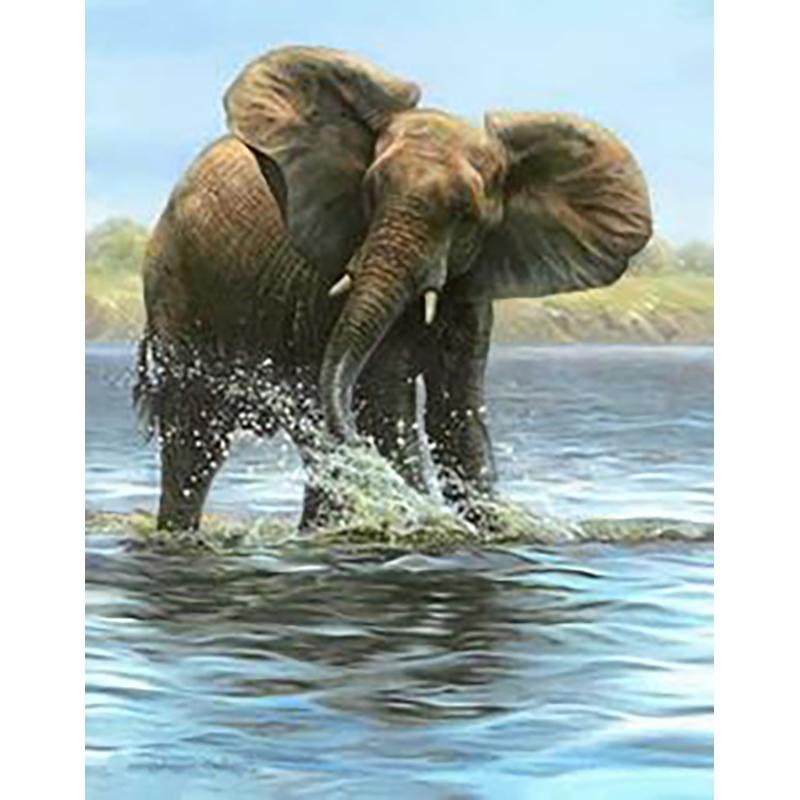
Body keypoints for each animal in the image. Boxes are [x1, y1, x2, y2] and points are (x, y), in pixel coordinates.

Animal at [134, 45, 652, 532]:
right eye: (370, 191)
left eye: (467, 214)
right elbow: (388, 407)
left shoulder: (472, 290)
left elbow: (457, 418)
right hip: (176, 291)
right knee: (194, 441)